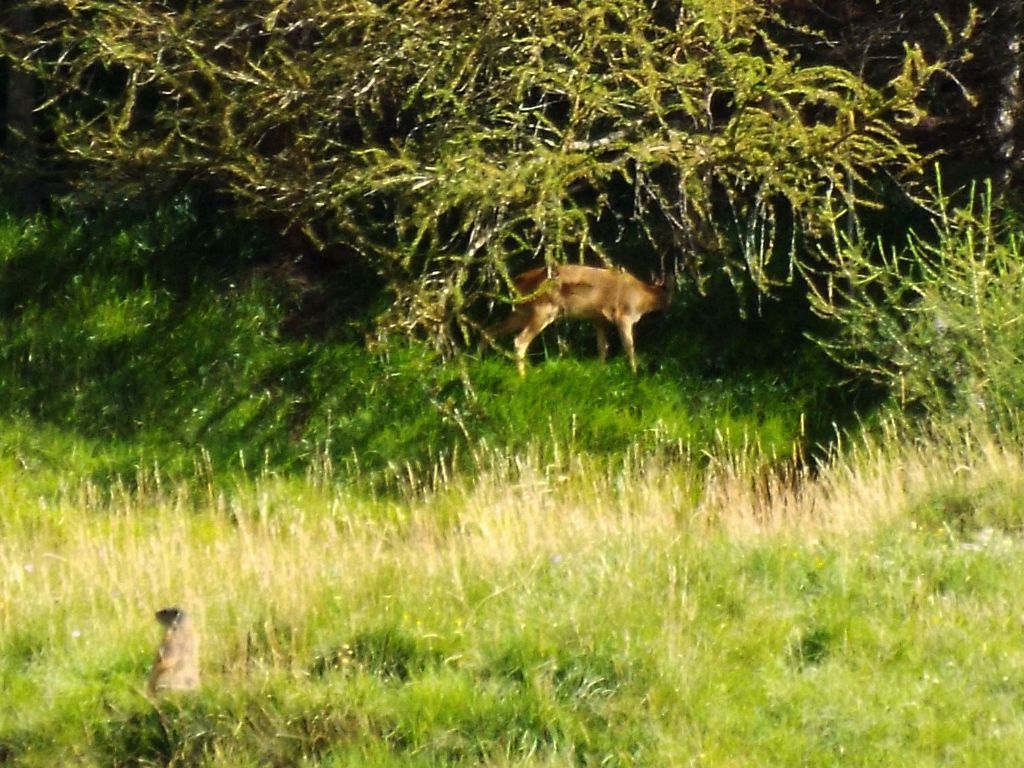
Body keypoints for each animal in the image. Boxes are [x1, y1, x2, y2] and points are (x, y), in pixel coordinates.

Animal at [485, 264, 671, 376]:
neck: (644, 297)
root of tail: (518, 281)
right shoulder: (623, 316)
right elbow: (629, 347)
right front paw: (634, 373)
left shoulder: (598, 319)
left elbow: (602, 347)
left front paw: (602, 371)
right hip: (543, 310)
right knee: (520, 340)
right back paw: (522, 377)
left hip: (522, 311)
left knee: (490, 331)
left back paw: (481, 360)